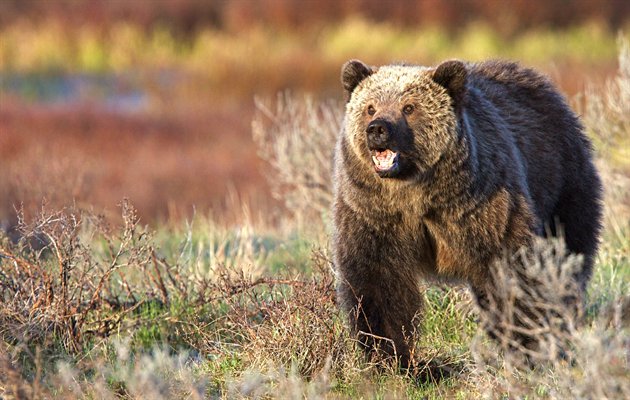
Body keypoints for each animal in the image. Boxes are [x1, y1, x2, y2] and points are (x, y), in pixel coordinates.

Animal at [334, 58, 604, 368]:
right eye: (370, 107)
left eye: (409, 107)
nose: (378, 129)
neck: (417, 194)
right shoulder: (373, 214)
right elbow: (378, 282)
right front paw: (393, 357)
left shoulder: (482, 206)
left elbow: (510, 269)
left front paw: (527, 345)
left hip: (562, 185)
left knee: (567, 254)